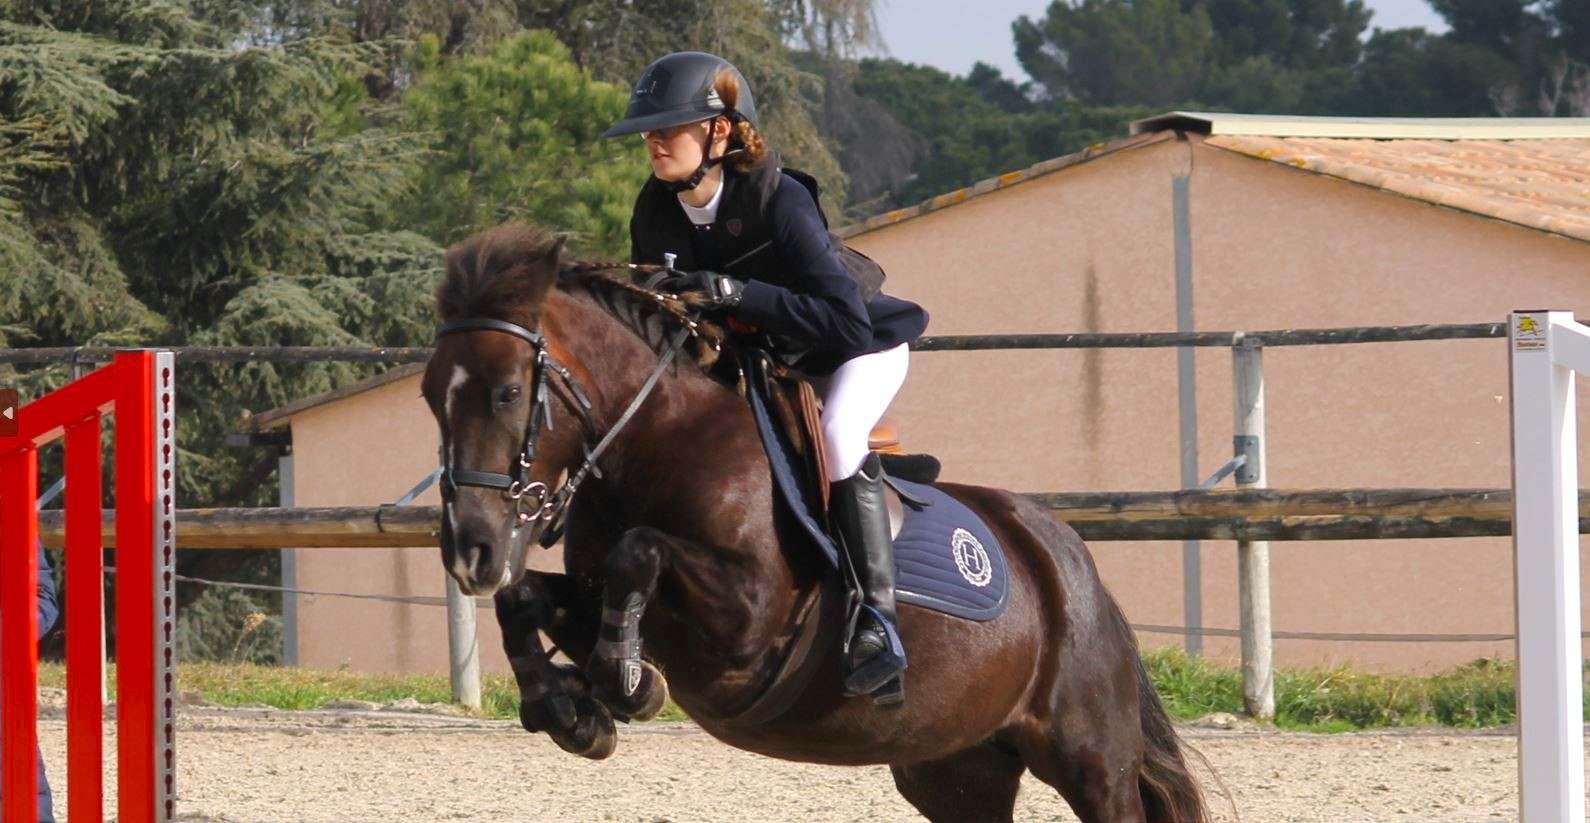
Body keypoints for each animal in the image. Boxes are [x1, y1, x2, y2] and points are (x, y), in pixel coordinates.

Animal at [416, 224, 1208, 823]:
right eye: (429, 395)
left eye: (508, 392)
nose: (471, 551)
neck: (656, 441)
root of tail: (1072, 560)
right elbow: (530, 598)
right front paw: (570, 709)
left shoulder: (748, 626)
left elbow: (636, 554)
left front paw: (623, 681)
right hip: (958, 770)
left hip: (1090, 759)